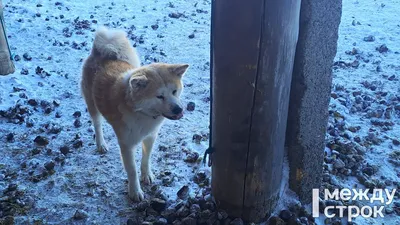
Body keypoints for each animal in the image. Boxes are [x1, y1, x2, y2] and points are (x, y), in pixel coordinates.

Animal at [80, 26, 190, 202]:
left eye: (174, 91)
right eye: (159, 96)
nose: (178, 109)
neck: (142, 113)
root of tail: (100, 51)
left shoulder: (150, 136)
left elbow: (146, 159)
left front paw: (146, 176)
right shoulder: (126, 145)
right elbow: (131, 171)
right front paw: (135, 192)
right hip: (92, 105)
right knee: (97, 124)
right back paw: (101, 144)